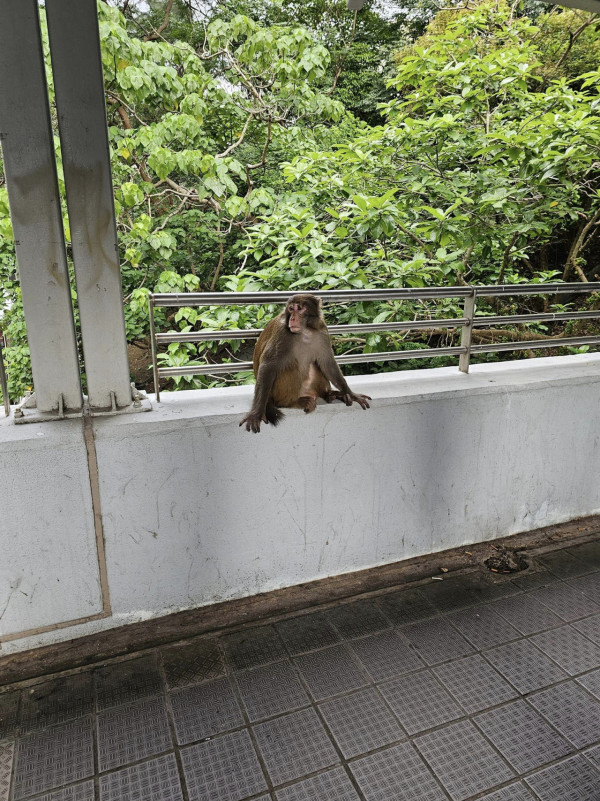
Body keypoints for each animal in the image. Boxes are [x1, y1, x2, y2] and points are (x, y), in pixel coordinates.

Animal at [239, 292, 370, 432]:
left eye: (300, 308)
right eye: (291, 309)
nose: (292, 319)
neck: (306, 330)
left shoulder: (322, 330)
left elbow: (327, 364)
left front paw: (351, 394)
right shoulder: (282, 333)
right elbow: (268, 365)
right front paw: (256, 414)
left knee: (316, 365)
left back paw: (330, 394)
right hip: (277, 393)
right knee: (291, 366)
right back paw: (290, 402)